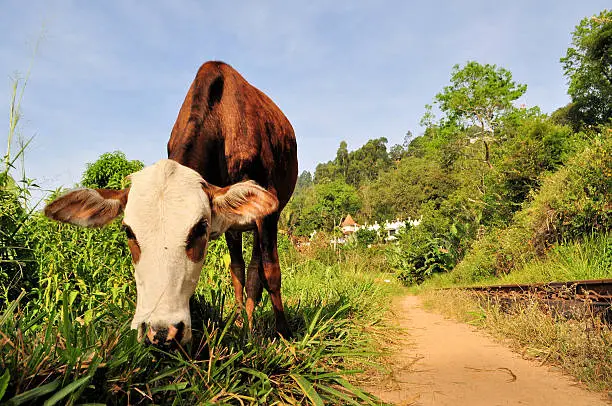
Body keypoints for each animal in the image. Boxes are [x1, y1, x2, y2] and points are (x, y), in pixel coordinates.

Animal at [44, 61, 298, 348]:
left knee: (259, 271)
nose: (162, 331)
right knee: (242, 271)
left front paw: (284, 332)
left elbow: (273, 272)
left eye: (200, 228)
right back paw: (244, 324)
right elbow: (240, 272)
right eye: (128, 232)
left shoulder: (269, 213)